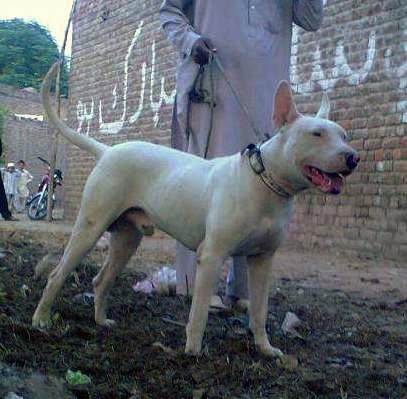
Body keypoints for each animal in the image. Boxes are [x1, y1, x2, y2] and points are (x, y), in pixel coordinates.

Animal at [32, 63, 360, 360]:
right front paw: (193, 351)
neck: (265, 184)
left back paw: (101, 321)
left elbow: (260, 311)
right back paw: (41, 320)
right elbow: (199, 311)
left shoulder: (262, 261)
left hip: (126, 239)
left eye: (344, 136)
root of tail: (108, 150)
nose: (353, 157)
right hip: (89, 229)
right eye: (316, 134)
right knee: (57, 274)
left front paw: (265, 349)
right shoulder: (211, 257)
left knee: (102, 280)